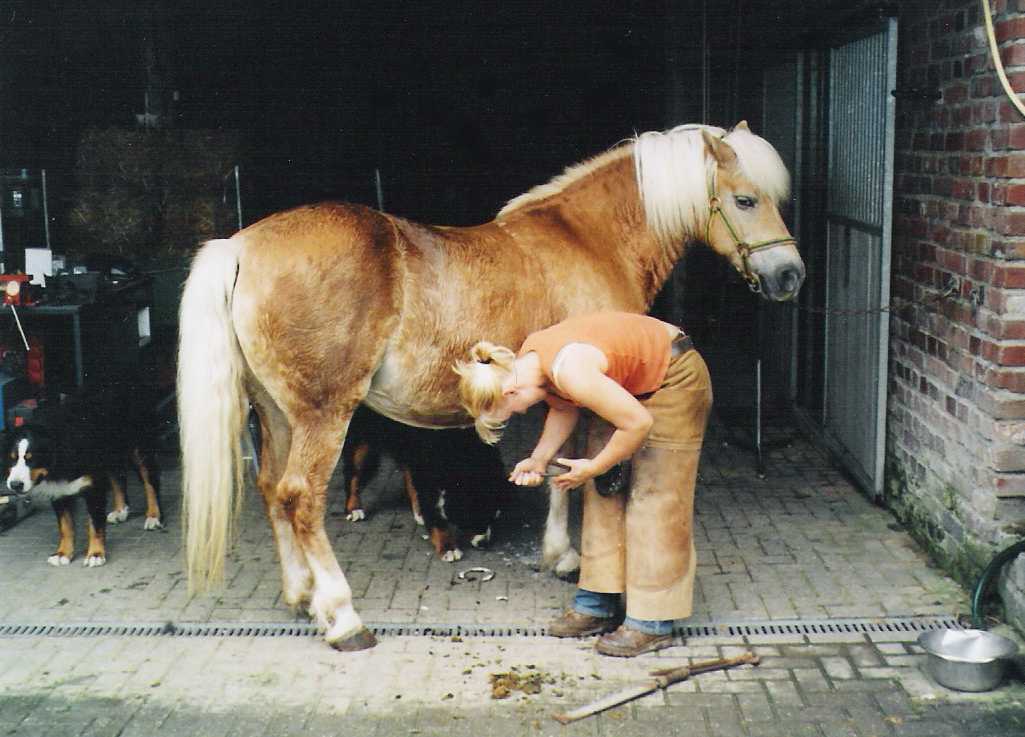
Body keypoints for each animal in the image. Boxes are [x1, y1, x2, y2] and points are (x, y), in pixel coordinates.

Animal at [177, 121, 804, 651]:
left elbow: (554, 466)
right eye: (745, 200)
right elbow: (571, 474)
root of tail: (241, 246)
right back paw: (342, 616)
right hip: (323, 415)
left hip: (275, 413)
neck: (589, 239)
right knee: (300, 498)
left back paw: (301, 595)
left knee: (270, 491)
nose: (789, 276)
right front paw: (564, 556)